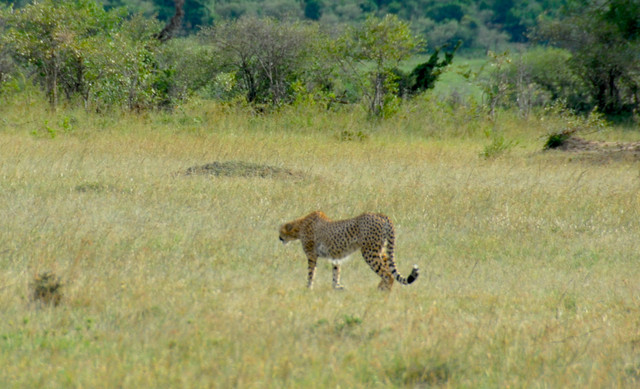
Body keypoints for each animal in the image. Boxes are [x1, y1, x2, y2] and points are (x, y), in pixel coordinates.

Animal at [276, 211, 418, 290]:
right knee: (389, 271)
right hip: (381, 250)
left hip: (369, 252)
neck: (300, 226)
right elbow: (336, 271)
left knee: (388, 274)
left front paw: (308, 288)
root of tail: (382, 215)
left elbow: (311, 273)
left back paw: (381, 294)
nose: (279, 238)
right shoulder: (336, 256)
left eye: (280, 231)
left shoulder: (311, 255)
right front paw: (337, 287)